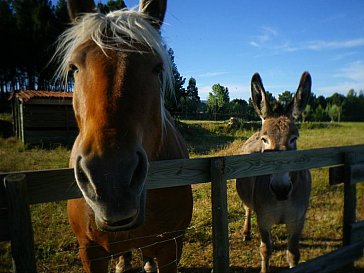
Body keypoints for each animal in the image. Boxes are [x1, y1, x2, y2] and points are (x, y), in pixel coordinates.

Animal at [236, 71, 312, 270]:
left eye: (294, 138)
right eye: (265, 140)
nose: (281, 189)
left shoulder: (297, 220)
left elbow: (293, 254)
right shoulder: (263, 219)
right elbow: (265, 250)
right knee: (247, 208)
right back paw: (246, 232)